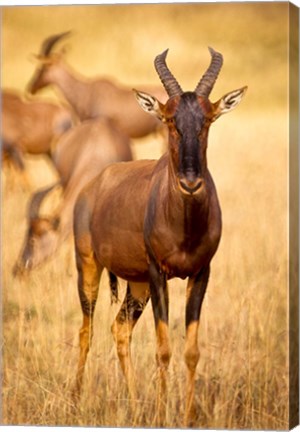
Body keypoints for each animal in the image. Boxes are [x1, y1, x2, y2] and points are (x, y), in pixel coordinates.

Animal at [72, 47, 246, 426]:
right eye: (169, 119)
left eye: (208, 119)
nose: (191, 182)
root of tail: (94, 185)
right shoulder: (158, 273)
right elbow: (163, 349)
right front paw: (164, 415)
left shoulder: (200, 273)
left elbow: (191, 351)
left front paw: (187, 417)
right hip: (89, 269)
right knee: (86, 330)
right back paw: (74, 399)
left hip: (137, 285)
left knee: (120, 330)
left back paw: (136, 406)